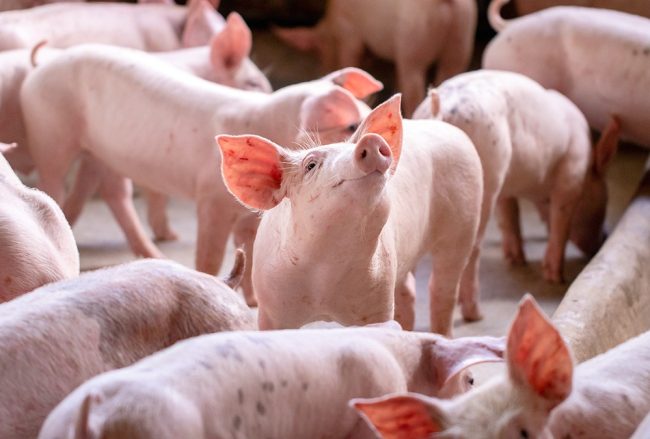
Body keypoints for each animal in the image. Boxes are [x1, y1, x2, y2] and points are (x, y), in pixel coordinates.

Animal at [20, 42, 383, 306]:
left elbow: (251, 251)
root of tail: (42, 65)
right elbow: (210, 254)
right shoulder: (211, 199)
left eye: (365, 113)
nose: (379, 143)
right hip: (49, 130)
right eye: (350, 124)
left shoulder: (250, 214)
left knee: (113, 193)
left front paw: (253, 302)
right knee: (55, 181)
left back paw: (155, 252)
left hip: (102, 153)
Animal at [218, 94, 483, 334]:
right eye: (310, 165)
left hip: (465, 220)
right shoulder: (270, 309)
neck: (324, 276)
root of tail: (439, 122)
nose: (371, 140)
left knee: (443, 289)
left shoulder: (378, 298)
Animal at [274, 0, 477, 116]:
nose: (323, 69)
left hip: (414, 37)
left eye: (318, 49)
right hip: (463, 32)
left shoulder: (349, 33)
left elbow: (351, 59)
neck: (330, 27)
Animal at [412, 71, 619, 302]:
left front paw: (516, 260)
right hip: (487, 177)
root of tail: (439, 108)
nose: (604, 237)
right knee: (472, 249)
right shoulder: (571, 175)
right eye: (604, 201)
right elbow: (561, 223)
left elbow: (509, 215)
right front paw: (556, 278)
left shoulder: (507, 187)